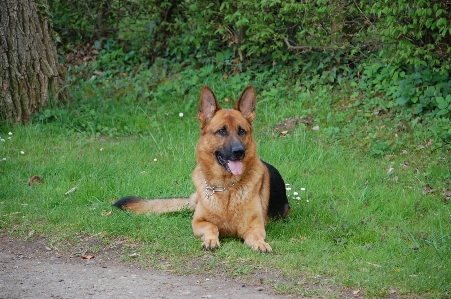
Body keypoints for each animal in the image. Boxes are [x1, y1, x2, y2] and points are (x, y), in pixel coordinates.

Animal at [115, 86, 292, 253]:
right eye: (222, 131)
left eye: (242, 131)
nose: (239, 151)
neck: (225, 188)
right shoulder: (198, 222)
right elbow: (211, 226)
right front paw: (211, 240)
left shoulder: (255, 226)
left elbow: (255, 236)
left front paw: (261, 244)